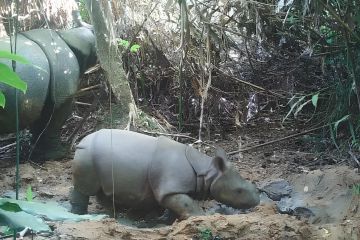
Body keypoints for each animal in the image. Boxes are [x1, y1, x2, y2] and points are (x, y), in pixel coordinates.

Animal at [70, 129, 260, 219]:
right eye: (238, 191)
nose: (257, 200)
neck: (207, 172)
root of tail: (81, 141)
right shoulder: (170, 188)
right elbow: (186, 204)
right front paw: (204, 216)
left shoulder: (170, 188)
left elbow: (178, 204)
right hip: (87, 155)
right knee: (85, 188)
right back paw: (80, 214)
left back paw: (115, 213)